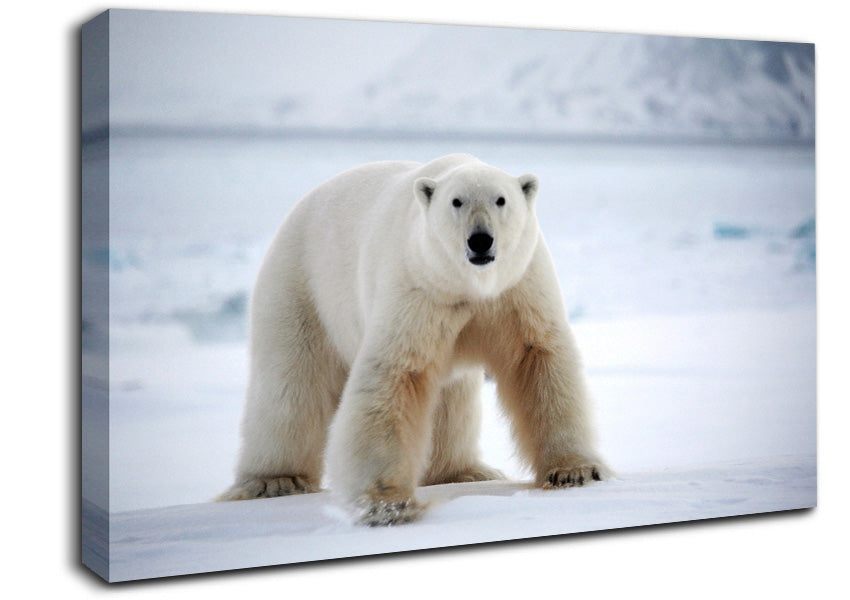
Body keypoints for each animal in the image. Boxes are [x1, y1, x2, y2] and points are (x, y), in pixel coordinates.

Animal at [217, 153, 610, 525]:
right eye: (456, 201)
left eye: (501, 199)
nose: (480, 239)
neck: (469, 286)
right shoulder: (417, 286)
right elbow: (395, 376)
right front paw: (389, 505)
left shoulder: (517, 288)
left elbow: (539, 359)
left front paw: (574, 472)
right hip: (301, 287)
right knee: (292, 386)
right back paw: (275, 481)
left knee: (451, 401)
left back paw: (465, 471)